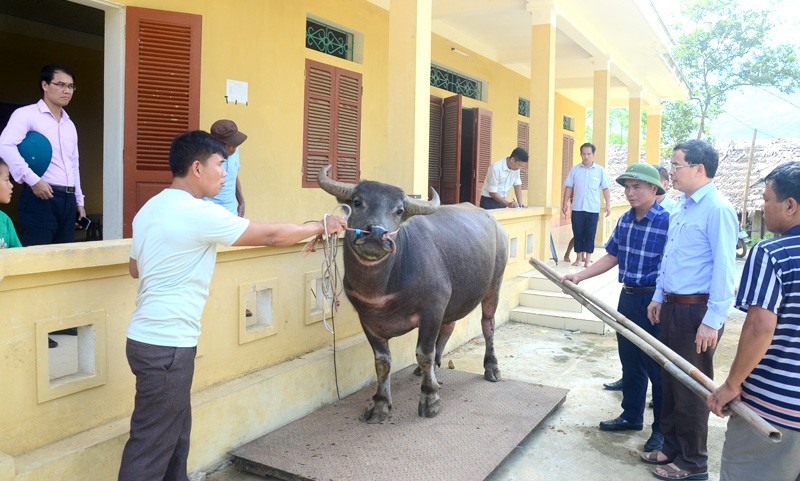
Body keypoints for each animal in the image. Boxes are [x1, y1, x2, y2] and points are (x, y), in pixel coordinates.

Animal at [318, 167, 506, 422]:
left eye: (399, 210)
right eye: (357, 202)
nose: (377, 232)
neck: (384, 286)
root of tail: (495, 224)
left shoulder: (432, 309)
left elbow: (424, 353)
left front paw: (430, 398)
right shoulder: (367, 320)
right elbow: (382, 362)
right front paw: (380, 403)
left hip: (493, 287)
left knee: (488, 325)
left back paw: (491, 368)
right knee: (448, 329)